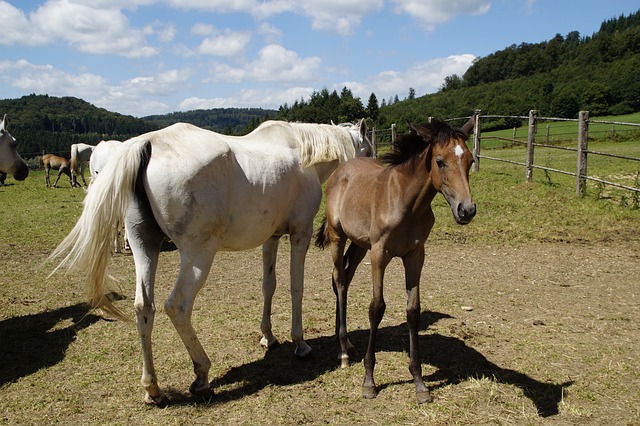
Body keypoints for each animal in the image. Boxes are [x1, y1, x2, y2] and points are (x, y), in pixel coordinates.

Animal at [50, 118, 372, 404]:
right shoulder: (299, 234)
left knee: (145, 308)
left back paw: (153, 389)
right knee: (177, 306)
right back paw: (202, 375)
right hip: (198, 256)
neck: (301, 152)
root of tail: (147, 144)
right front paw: (300, 342)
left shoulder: (271, 238)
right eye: (368, 151)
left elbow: (268, 285)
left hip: (145, 246)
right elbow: (296, 287)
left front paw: (268, 336)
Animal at [316, 115, 476, 402]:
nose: (466, 210)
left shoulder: (415, 256)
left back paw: (346, 343)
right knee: (340, 280)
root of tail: (341, 170)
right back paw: (343, 351)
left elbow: (413, 311)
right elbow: (376, 308)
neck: (407, 202)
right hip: (338, 237)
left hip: (360, 245)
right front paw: (369, 381)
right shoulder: (380, 253)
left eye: (470, 160)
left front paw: (419, 383)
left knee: (343, 275)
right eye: (440, 161)